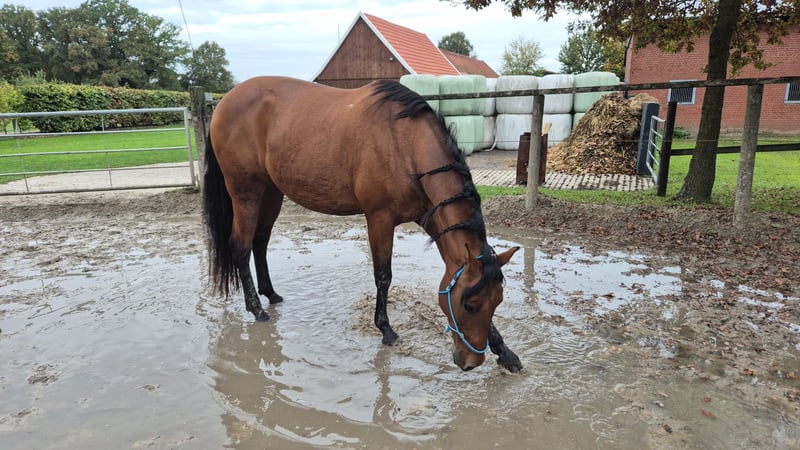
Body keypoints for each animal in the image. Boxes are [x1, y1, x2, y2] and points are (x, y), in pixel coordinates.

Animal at [202, 76, 522, 372]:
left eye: (497, 301)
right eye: (469, 305)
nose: (471, 362)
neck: (404, 144)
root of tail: (224, 103)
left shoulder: (431, 218)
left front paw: (505, 352)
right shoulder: (379, 218)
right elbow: (383, 275)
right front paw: (386, 329)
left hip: (271, 192)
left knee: (260, 242)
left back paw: (270, 294)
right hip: (246, 193)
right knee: (240, 246)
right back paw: (256, 309)